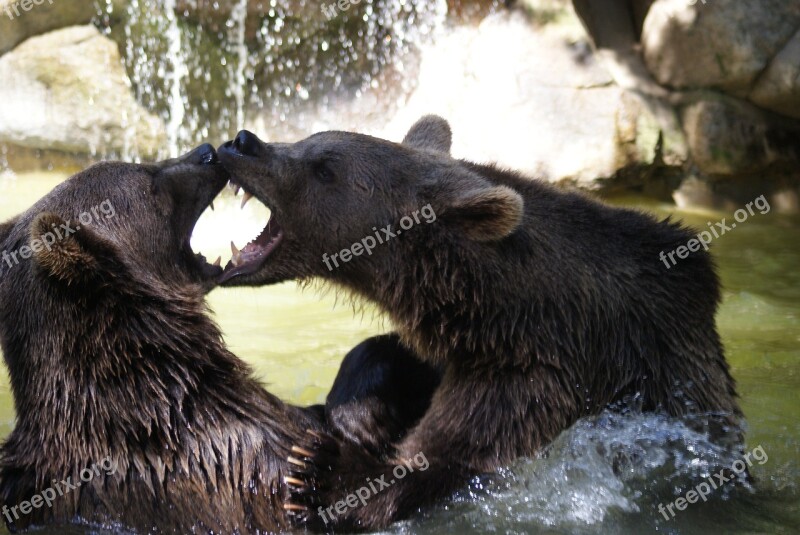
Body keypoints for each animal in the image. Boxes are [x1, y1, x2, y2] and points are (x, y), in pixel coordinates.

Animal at [217, 117, 744, 532]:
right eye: (309, 139)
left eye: (325, 168)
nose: (242, 141)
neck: (504, 307)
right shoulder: (465, 344)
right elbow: (392, 359)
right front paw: (361, 411)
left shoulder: (545, 374)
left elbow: (454, 461)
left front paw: (324, 472)